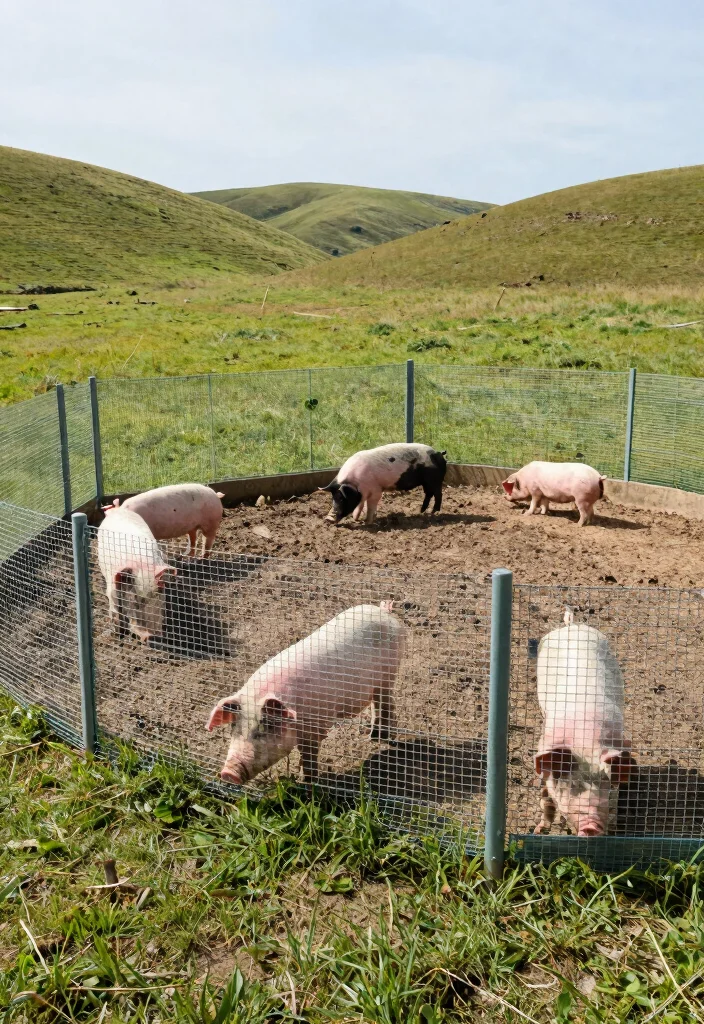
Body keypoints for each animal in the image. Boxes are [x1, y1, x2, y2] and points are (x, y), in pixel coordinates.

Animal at [97, 506, 177, 643]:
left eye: (160, 593)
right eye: (134, 599)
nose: (149, 635)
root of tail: (118, 509)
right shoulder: (112, 585)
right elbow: (114, 604)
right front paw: (118, 633)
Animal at [206, 601, 405, 784]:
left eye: (266, 725)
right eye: (234, 726)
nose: (228, 773)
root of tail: (383, 611)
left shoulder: (314, 726)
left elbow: (310, 753)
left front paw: (307, 781)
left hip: (388, 674)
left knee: (385, 703)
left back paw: (379, 738)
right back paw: (372, 735)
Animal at [319, 443, 447, 525]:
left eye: (341, 498)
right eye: (333, 498)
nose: (328, 519)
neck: (356, 484)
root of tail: (438, 453)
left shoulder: (376, 490)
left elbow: (370, 506)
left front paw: (367, 522)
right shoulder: (363, 493)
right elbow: (360, 505)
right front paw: (356, 519)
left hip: (434, 480)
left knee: (438, 494)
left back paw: (433, 512)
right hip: (427, 482)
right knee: (429, 494)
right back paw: (422, 512)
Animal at [535, 608, 634, 837]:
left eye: (607, 784)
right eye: (573, 785)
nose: (591, 826)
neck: (585, 743)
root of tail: (573, 626)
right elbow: (546, 797)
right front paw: (538, 830)